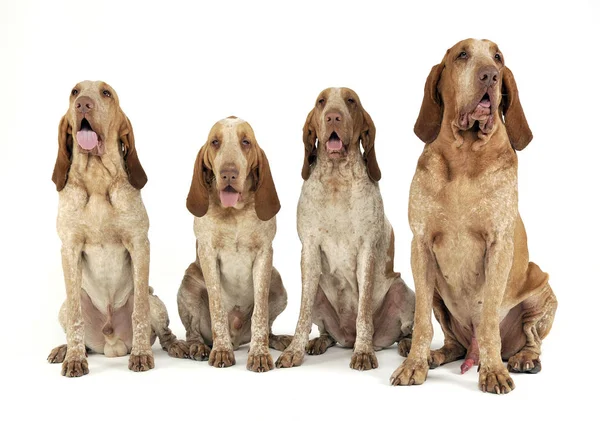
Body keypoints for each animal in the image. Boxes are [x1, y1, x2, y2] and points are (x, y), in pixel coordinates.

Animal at [47, 80, 185, 376]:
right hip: (64, 307)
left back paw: (178, 346)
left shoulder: (139, 244)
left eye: (106, 93)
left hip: (155, 301)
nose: (83, 104)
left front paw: (142, 354)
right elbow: (76, 318)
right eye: (74, 92)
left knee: (163, 331)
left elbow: (139, 313)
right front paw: (74, 358)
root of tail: (112, 343)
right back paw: (65, 348)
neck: (97, 176)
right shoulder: (69, 249)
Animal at [175, 115, 292, 370]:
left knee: (268, 326)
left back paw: (277, 339)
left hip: (278, 282)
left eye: (246, 142)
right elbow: (217, 308)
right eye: (215, 142)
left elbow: (260, 314)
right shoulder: (208, 255)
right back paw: (198, 347)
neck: (234, 212)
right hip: (188, 282)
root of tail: (238, 338)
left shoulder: (264, 255)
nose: (229, 174)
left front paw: (259, 354)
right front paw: (221, 351)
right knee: (192, 332)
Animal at [276, 87, 412, 370]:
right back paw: (319, 342)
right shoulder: (309, 252)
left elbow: (363, 313)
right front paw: (294, 350)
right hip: (318, 291)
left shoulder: (366, 252)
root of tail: (346, 338)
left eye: (351, 101)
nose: (333, 117)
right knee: (326, 331)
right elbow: (302, 315)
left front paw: (363, 352)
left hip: (403, 290)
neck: (336, 178)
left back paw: (404, 344)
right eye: (321, 102)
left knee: (405, 331)